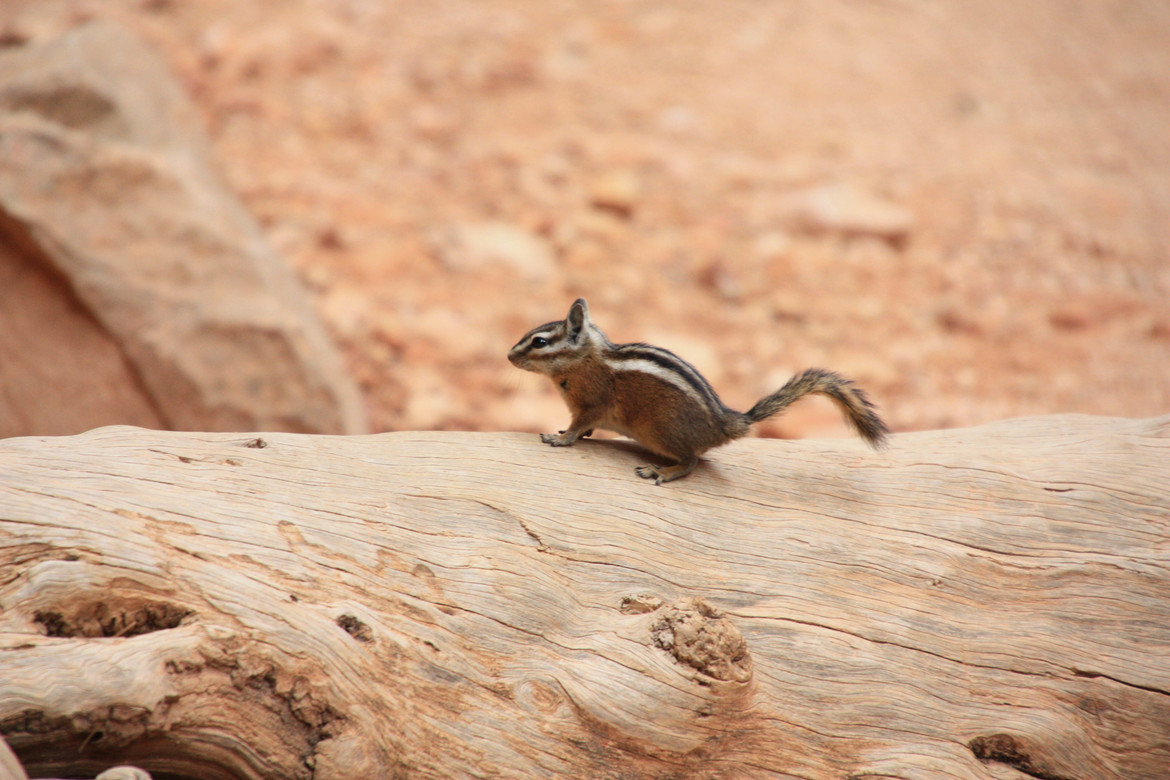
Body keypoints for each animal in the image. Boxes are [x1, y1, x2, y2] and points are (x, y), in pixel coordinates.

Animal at [508, 298, 889, 484]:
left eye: (540, 342)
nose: (509, 356)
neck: (585, 359)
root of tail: (726, 423)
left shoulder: (590, 401)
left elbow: (578, 425)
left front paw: (560, 438)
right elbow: (583, 427)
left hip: (660, 431)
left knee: (691, 461)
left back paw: (661, 472)